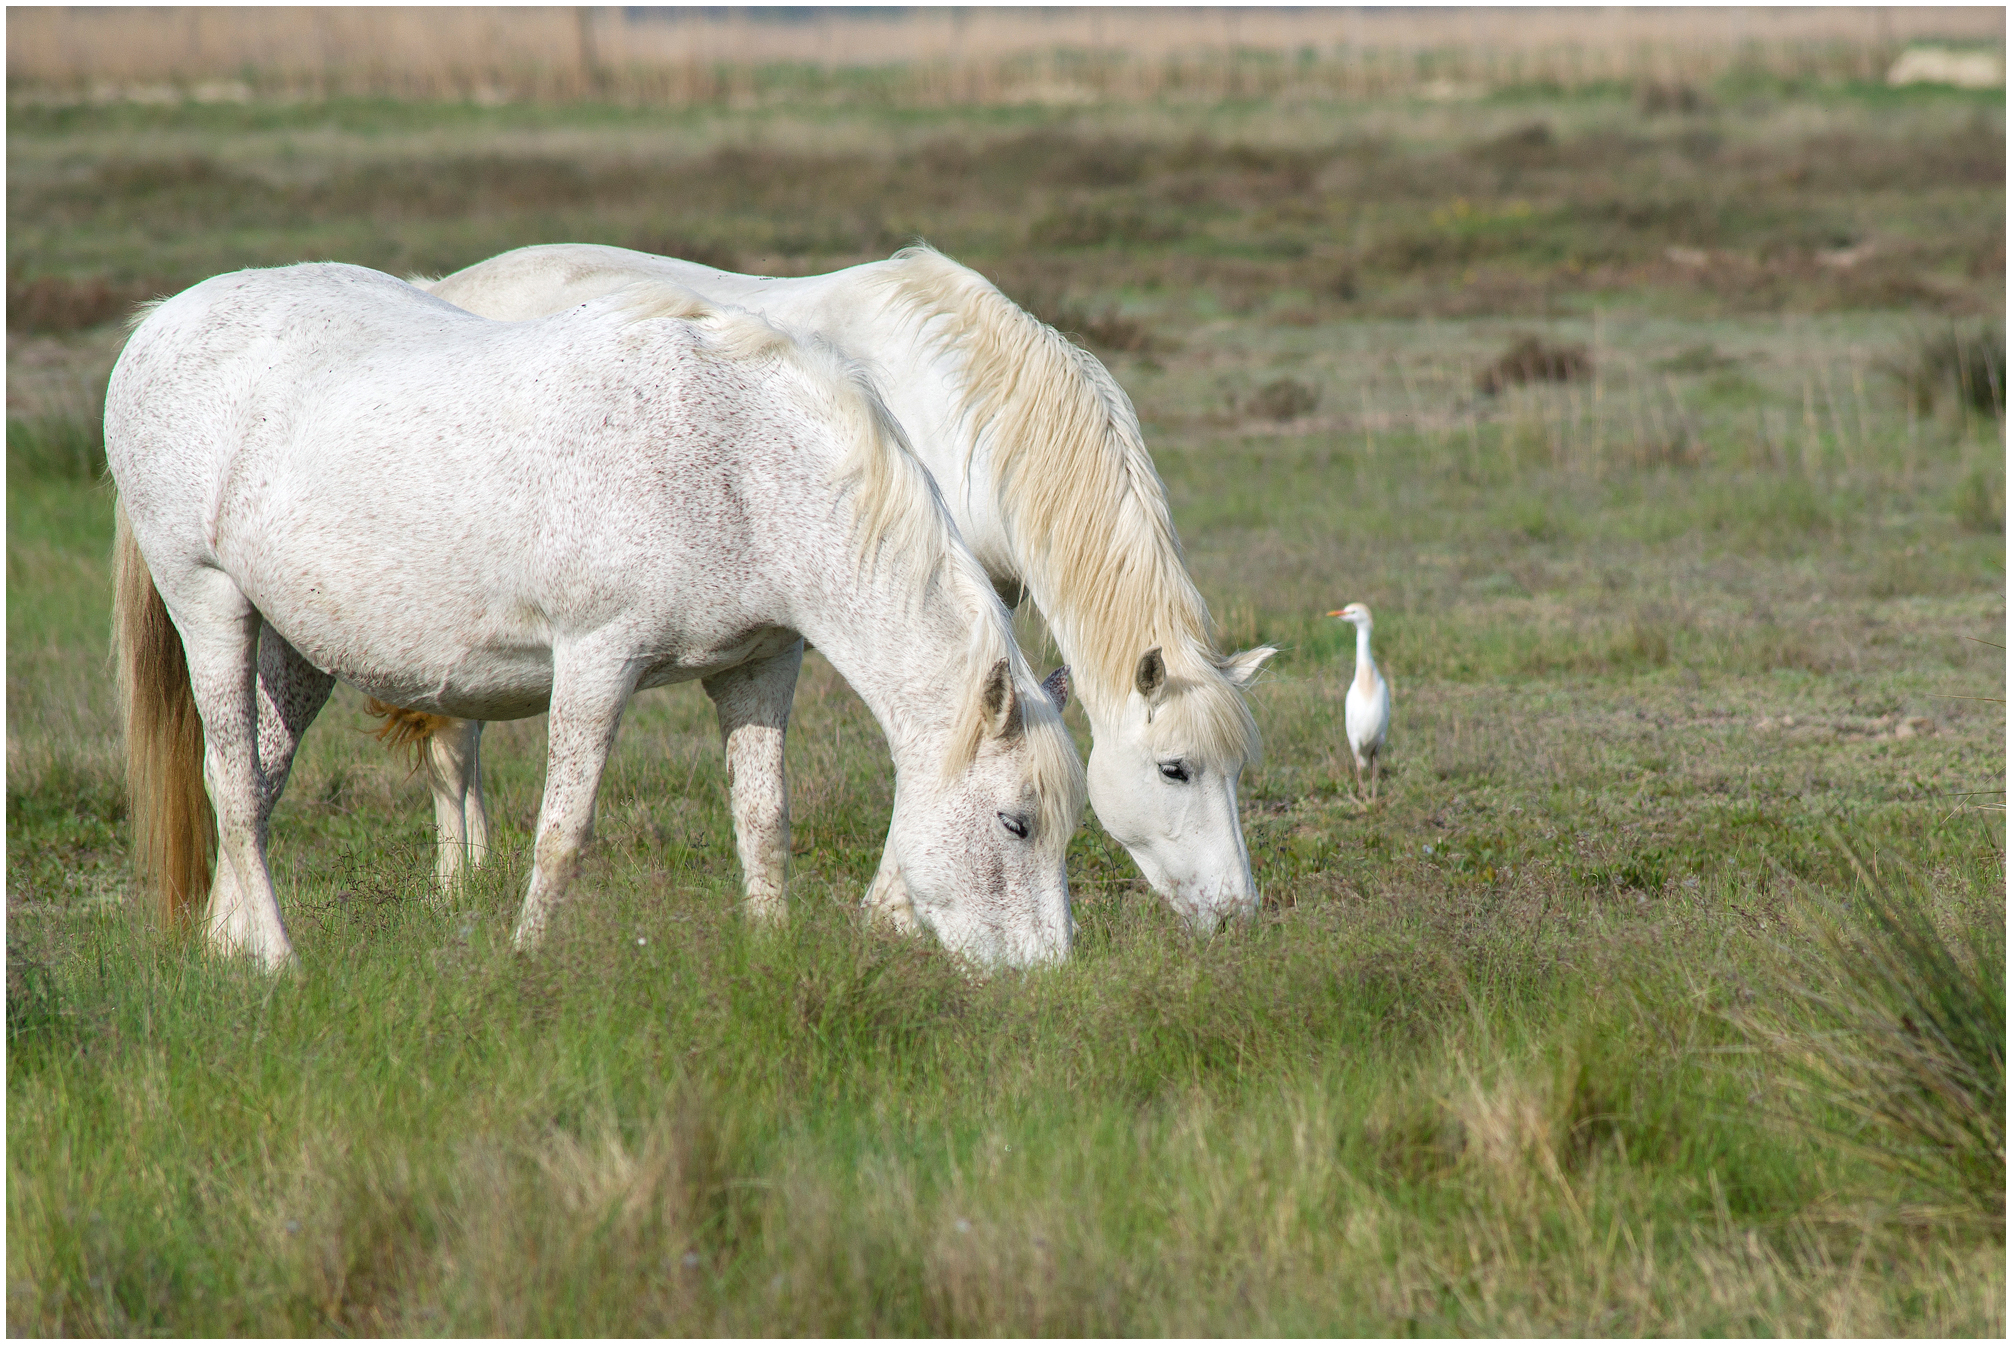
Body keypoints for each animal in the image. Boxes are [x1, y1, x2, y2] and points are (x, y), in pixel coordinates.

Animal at [108, 262, 1086, 971]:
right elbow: (562, 833)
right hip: (210, 605)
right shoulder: (596, 661)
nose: (1046, 978)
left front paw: (771, 954)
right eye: (1015, 823)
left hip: (298, 646)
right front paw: (527, 958)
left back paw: (226, 948)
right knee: (235, 786)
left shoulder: (759, 667)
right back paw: (277, 960)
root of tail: (157, 324)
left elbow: (764, 825)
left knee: (255, 781)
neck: (741, 460)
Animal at [392, 243, 1275, 933]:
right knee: (453, 741)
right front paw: (887, 913)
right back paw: (459, 882)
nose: (1236, 912)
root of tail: (442, 287)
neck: (955, 402)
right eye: (1175, 769)